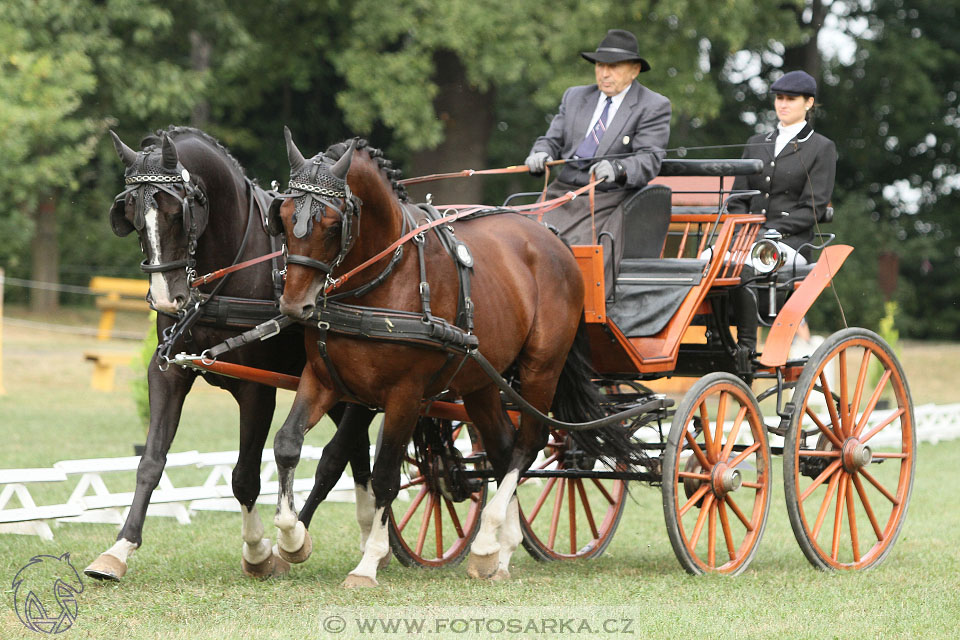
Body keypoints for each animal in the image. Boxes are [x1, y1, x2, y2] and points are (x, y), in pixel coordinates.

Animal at [85, 127, 376, 584]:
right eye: (131, 213)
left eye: (177, 213)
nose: (167, 300)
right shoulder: (167, 371)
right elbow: (151, 460)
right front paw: (118, 549)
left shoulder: (257, 389)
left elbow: (244, 476)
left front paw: (258, 552)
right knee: (358, 453)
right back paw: (365, 539)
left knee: (344, 453)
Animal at [270, 130, 624, 584]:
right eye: (283, 216)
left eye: (332, 226)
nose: (295, 305)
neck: (385, 275)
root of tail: (552, 238)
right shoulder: (326, 380)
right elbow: (289, 444)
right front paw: (290, 538)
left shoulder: (404, 395)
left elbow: (385, 476)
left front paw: (368, 562)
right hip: (482, 381)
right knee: (503, 448)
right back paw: (500, 553)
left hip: (541, 369)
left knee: (528, 445)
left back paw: (488, 541)